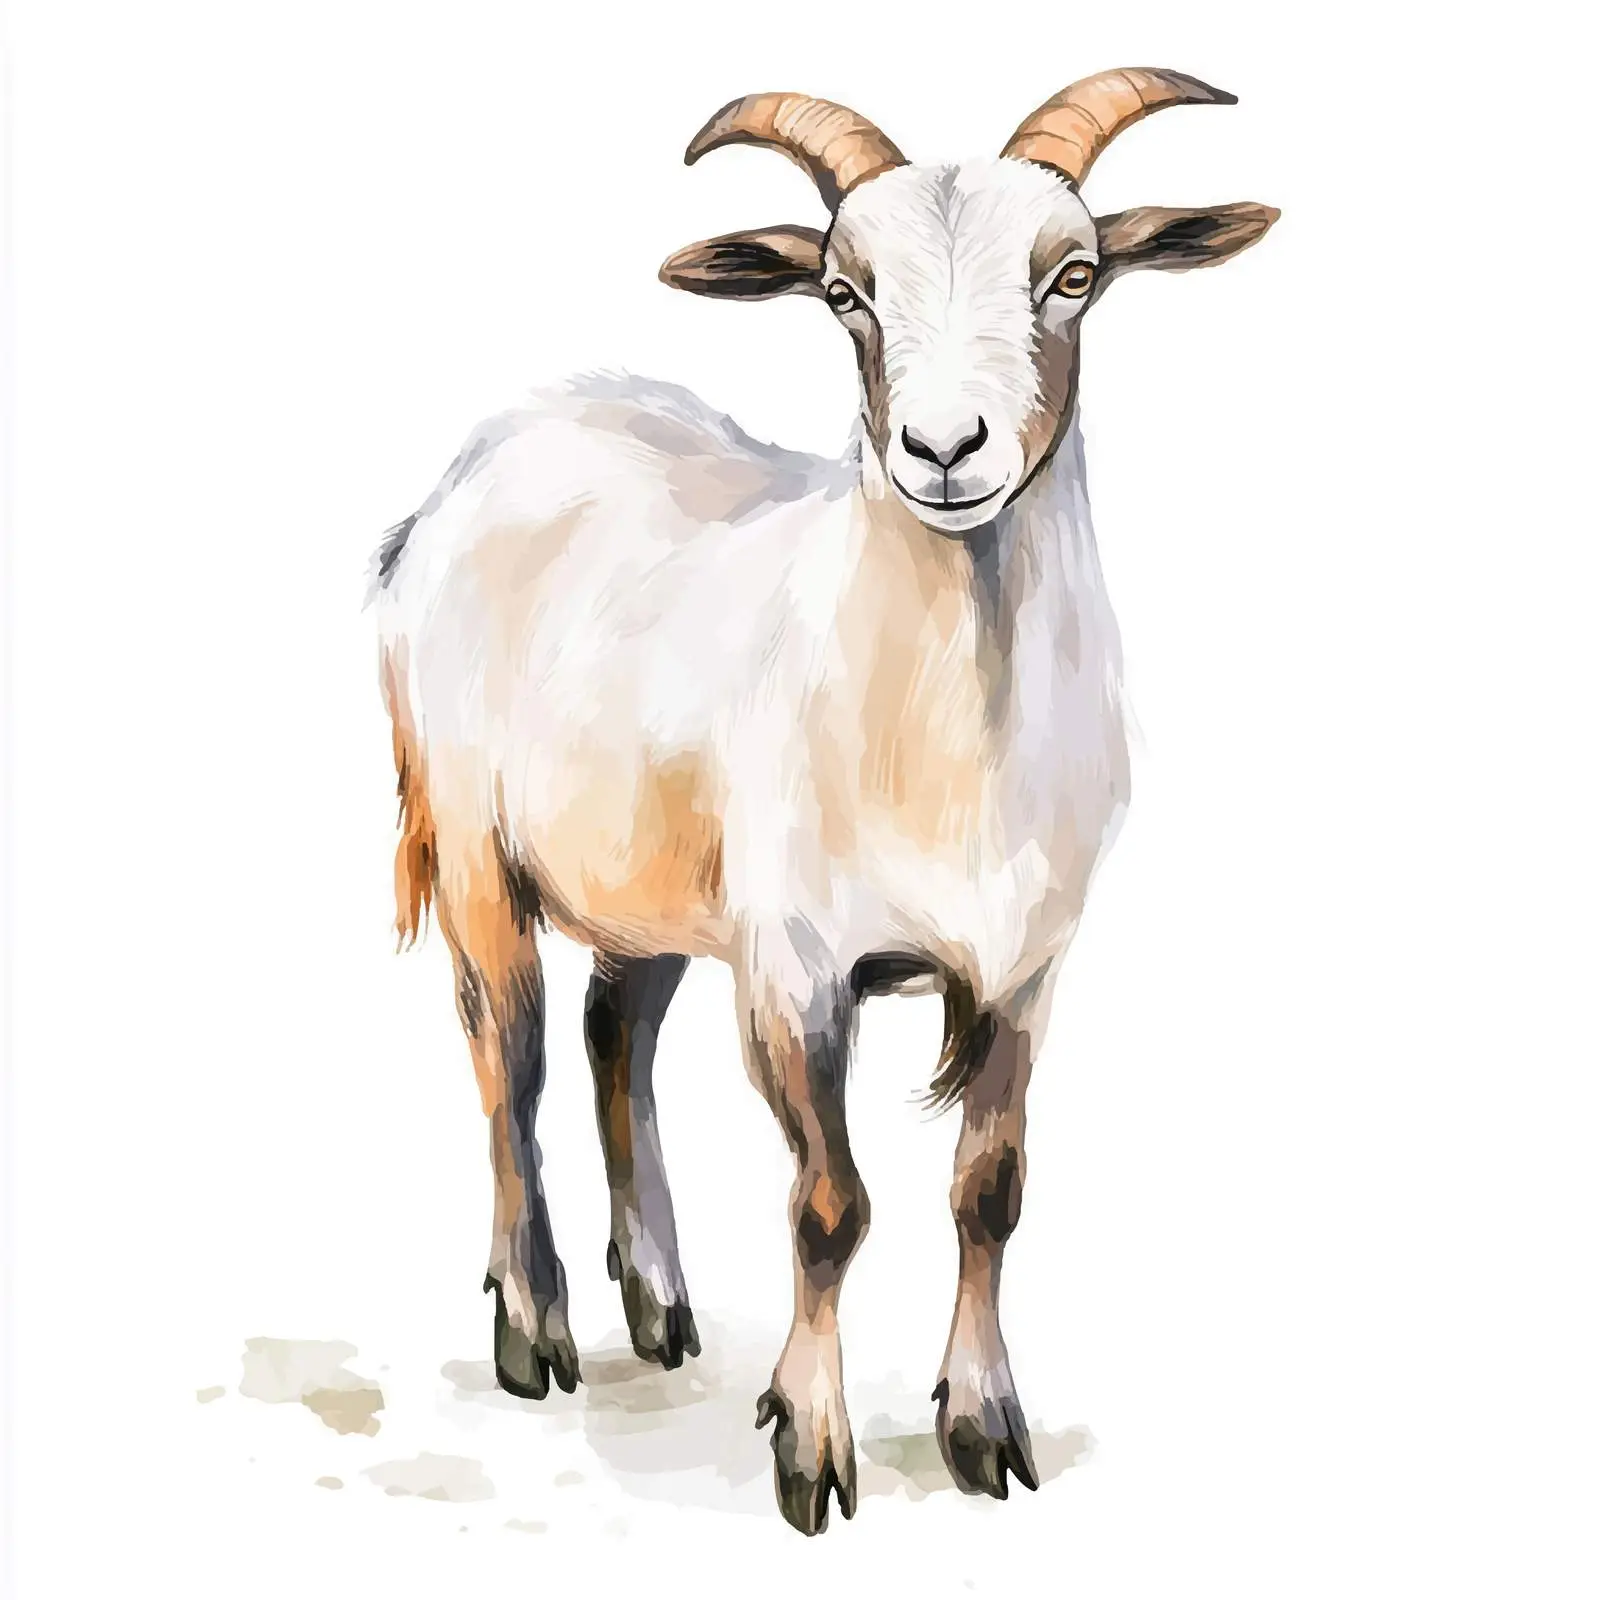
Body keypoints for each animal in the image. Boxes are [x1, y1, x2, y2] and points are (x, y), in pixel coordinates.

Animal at [372, 68, 1276, 1534]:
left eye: (1074, 275)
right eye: (846, 290)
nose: (944, 447)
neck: (951, 747)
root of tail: (482, 460)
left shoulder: (1026, 969)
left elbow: (989, 1192)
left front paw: (984, 1431)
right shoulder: (795, 968)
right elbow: (829, 1208)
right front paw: (810, 1446)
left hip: (654, 882)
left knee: (615, 1038)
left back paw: (660, 1305)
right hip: (472, 847)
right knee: (509, 1056)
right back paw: (535, 1327)